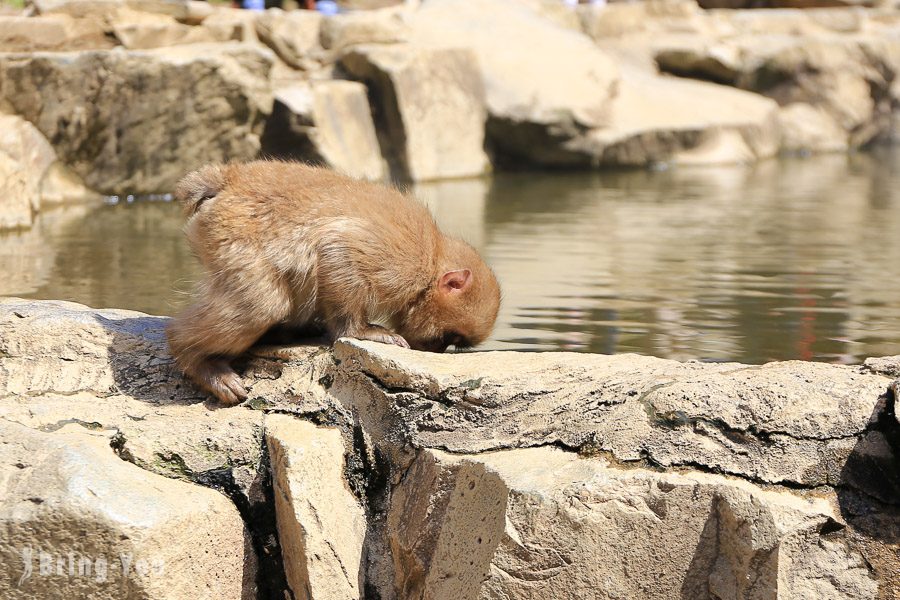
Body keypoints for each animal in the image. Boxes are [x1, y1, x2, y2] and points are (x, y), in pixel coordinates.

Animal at [168, 161, 502, 404]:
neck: (433, 259)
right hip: (230, 236)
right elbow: (338, 246)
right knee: (261, 306)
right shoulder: (401, 261)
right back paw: (196, 358)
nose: (435, 350)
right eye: (449, 337)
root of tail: (228, 178)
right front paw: (360, 331)